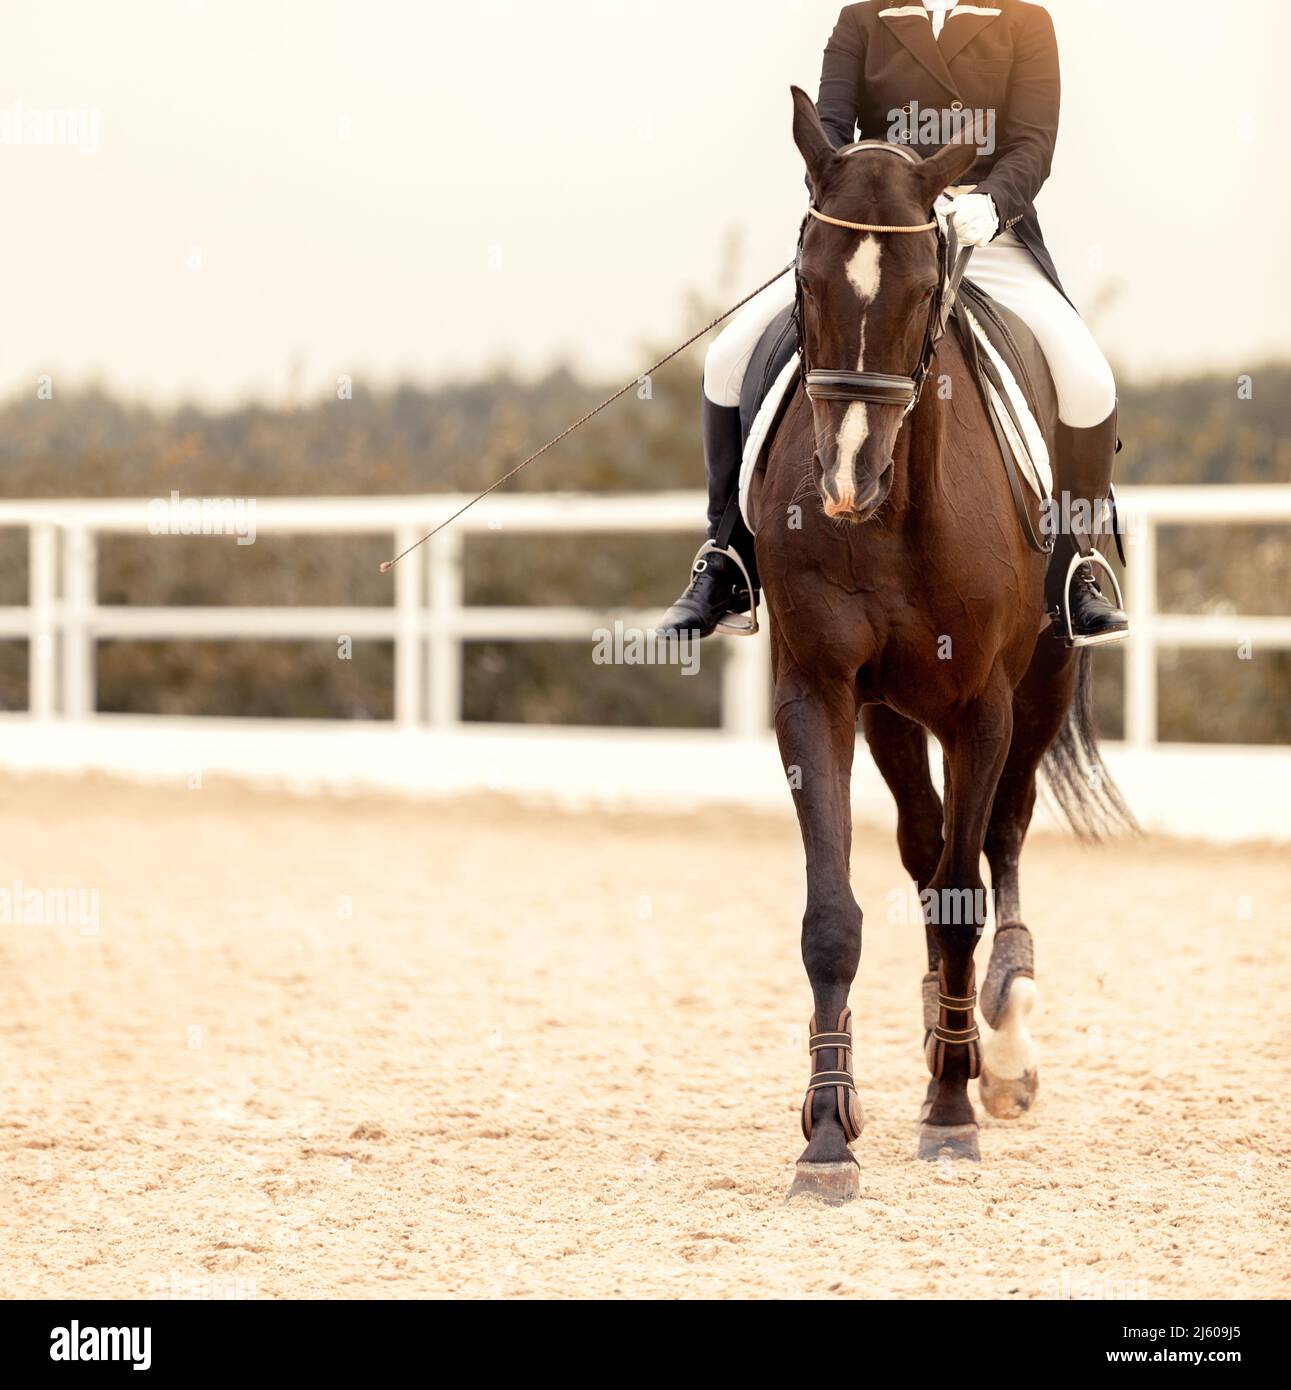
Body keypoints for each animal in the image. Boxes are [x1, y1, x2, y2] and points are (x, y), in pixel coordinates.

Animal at [753, 89, 1134, 1204]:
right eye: (805, 274)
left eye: (927, 289)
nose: (846, 480)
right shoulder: (818, 692)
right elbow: (834, 912)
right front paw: (827, 1131)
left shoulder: (981, 709)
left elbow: (966, 897)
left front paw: (955, 1111)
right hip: (890, 712)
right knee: (928, 855)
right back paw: (940, 1035)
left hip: (1041, 685)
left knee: (996, 842)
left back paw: (996, 1048)